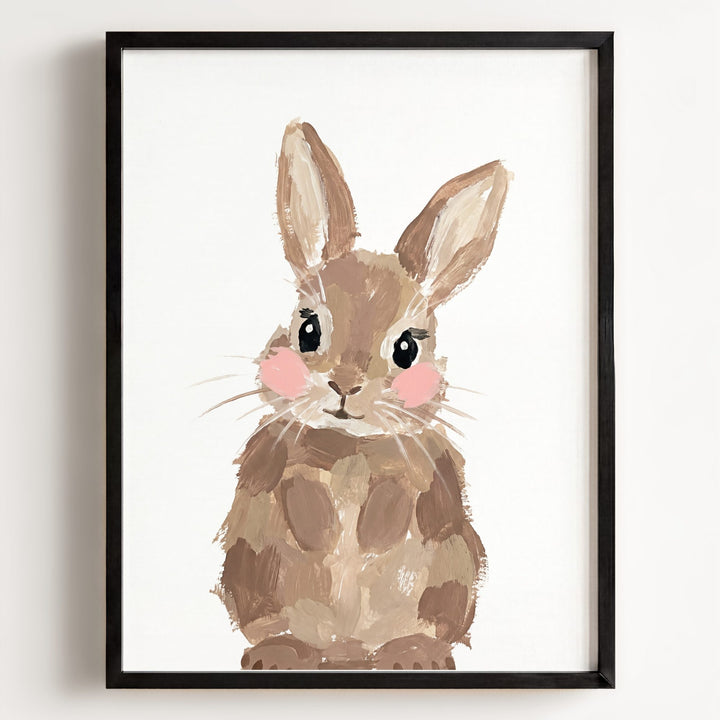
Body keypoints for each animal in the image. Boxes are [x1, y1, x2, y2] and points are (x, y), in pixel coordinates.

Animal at [213, 120, 510, 670]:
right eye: (308, 329)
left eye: (407, 348)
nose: (345, 385)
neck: (349, 446)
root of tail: (346, 652)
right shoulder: (273, 464)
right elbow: (301, 498)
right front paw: (325, 528)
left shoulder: (427, 478)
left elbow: (394, 507)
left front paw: (368, 531)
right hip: (252, 578)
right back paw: (281, 655)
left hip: (450, 582)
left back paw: (412, 655)